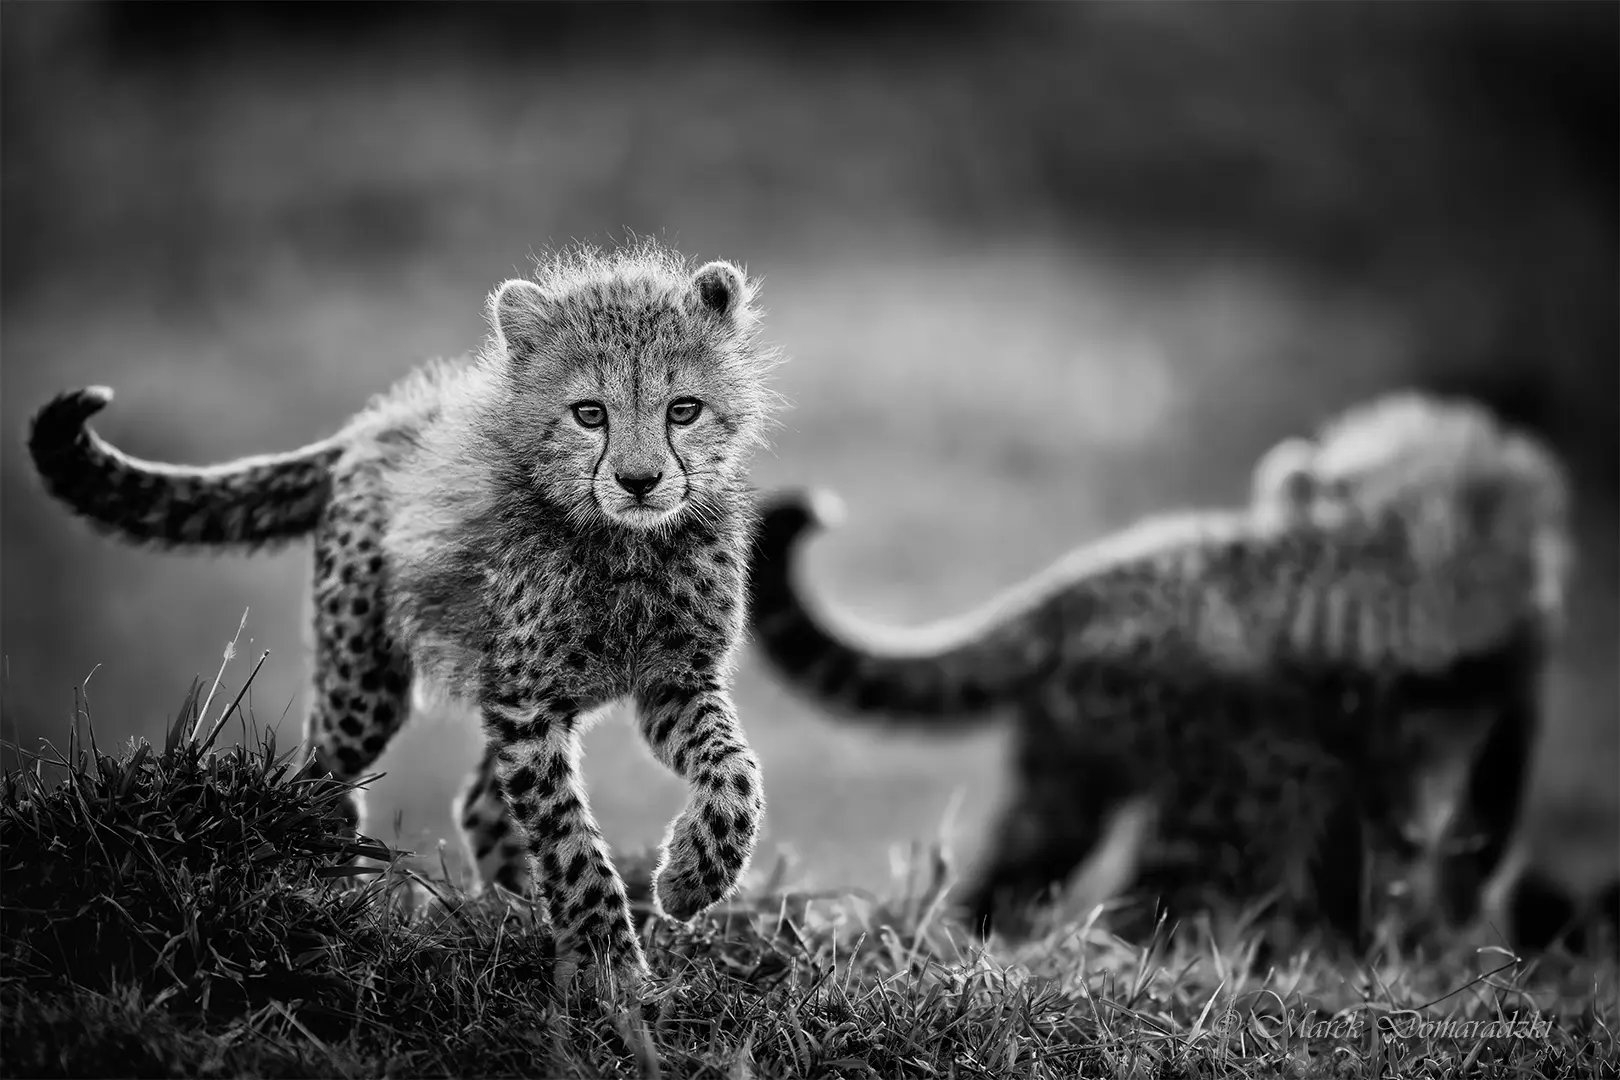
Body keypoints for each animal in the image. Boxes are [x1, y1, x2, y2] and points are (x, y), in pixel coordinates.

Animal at [27, 239, 782, 998]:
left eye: (683, 409)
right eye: (588, 414)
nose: (639, 481)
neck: (628, 545)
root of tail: (376, 425)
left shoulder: (672, 681)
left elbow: (736, 772)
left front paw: (689, 880)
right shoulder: (529, 703)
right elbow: (568, 840)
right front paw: (610, 968)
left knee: (478, 801)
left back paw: (509, 911)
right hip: (367, 685)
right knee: (324, 773)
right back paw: (328, 888)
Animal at [744, 393, 1569, 953]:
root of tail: (1084, 586)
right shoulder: (1477, 716)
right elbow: (1447, 838)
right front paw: (1403, 947)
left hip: (1066, 778)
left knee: (1004, 881)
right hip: (1239, 803)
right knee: (1151, 911)